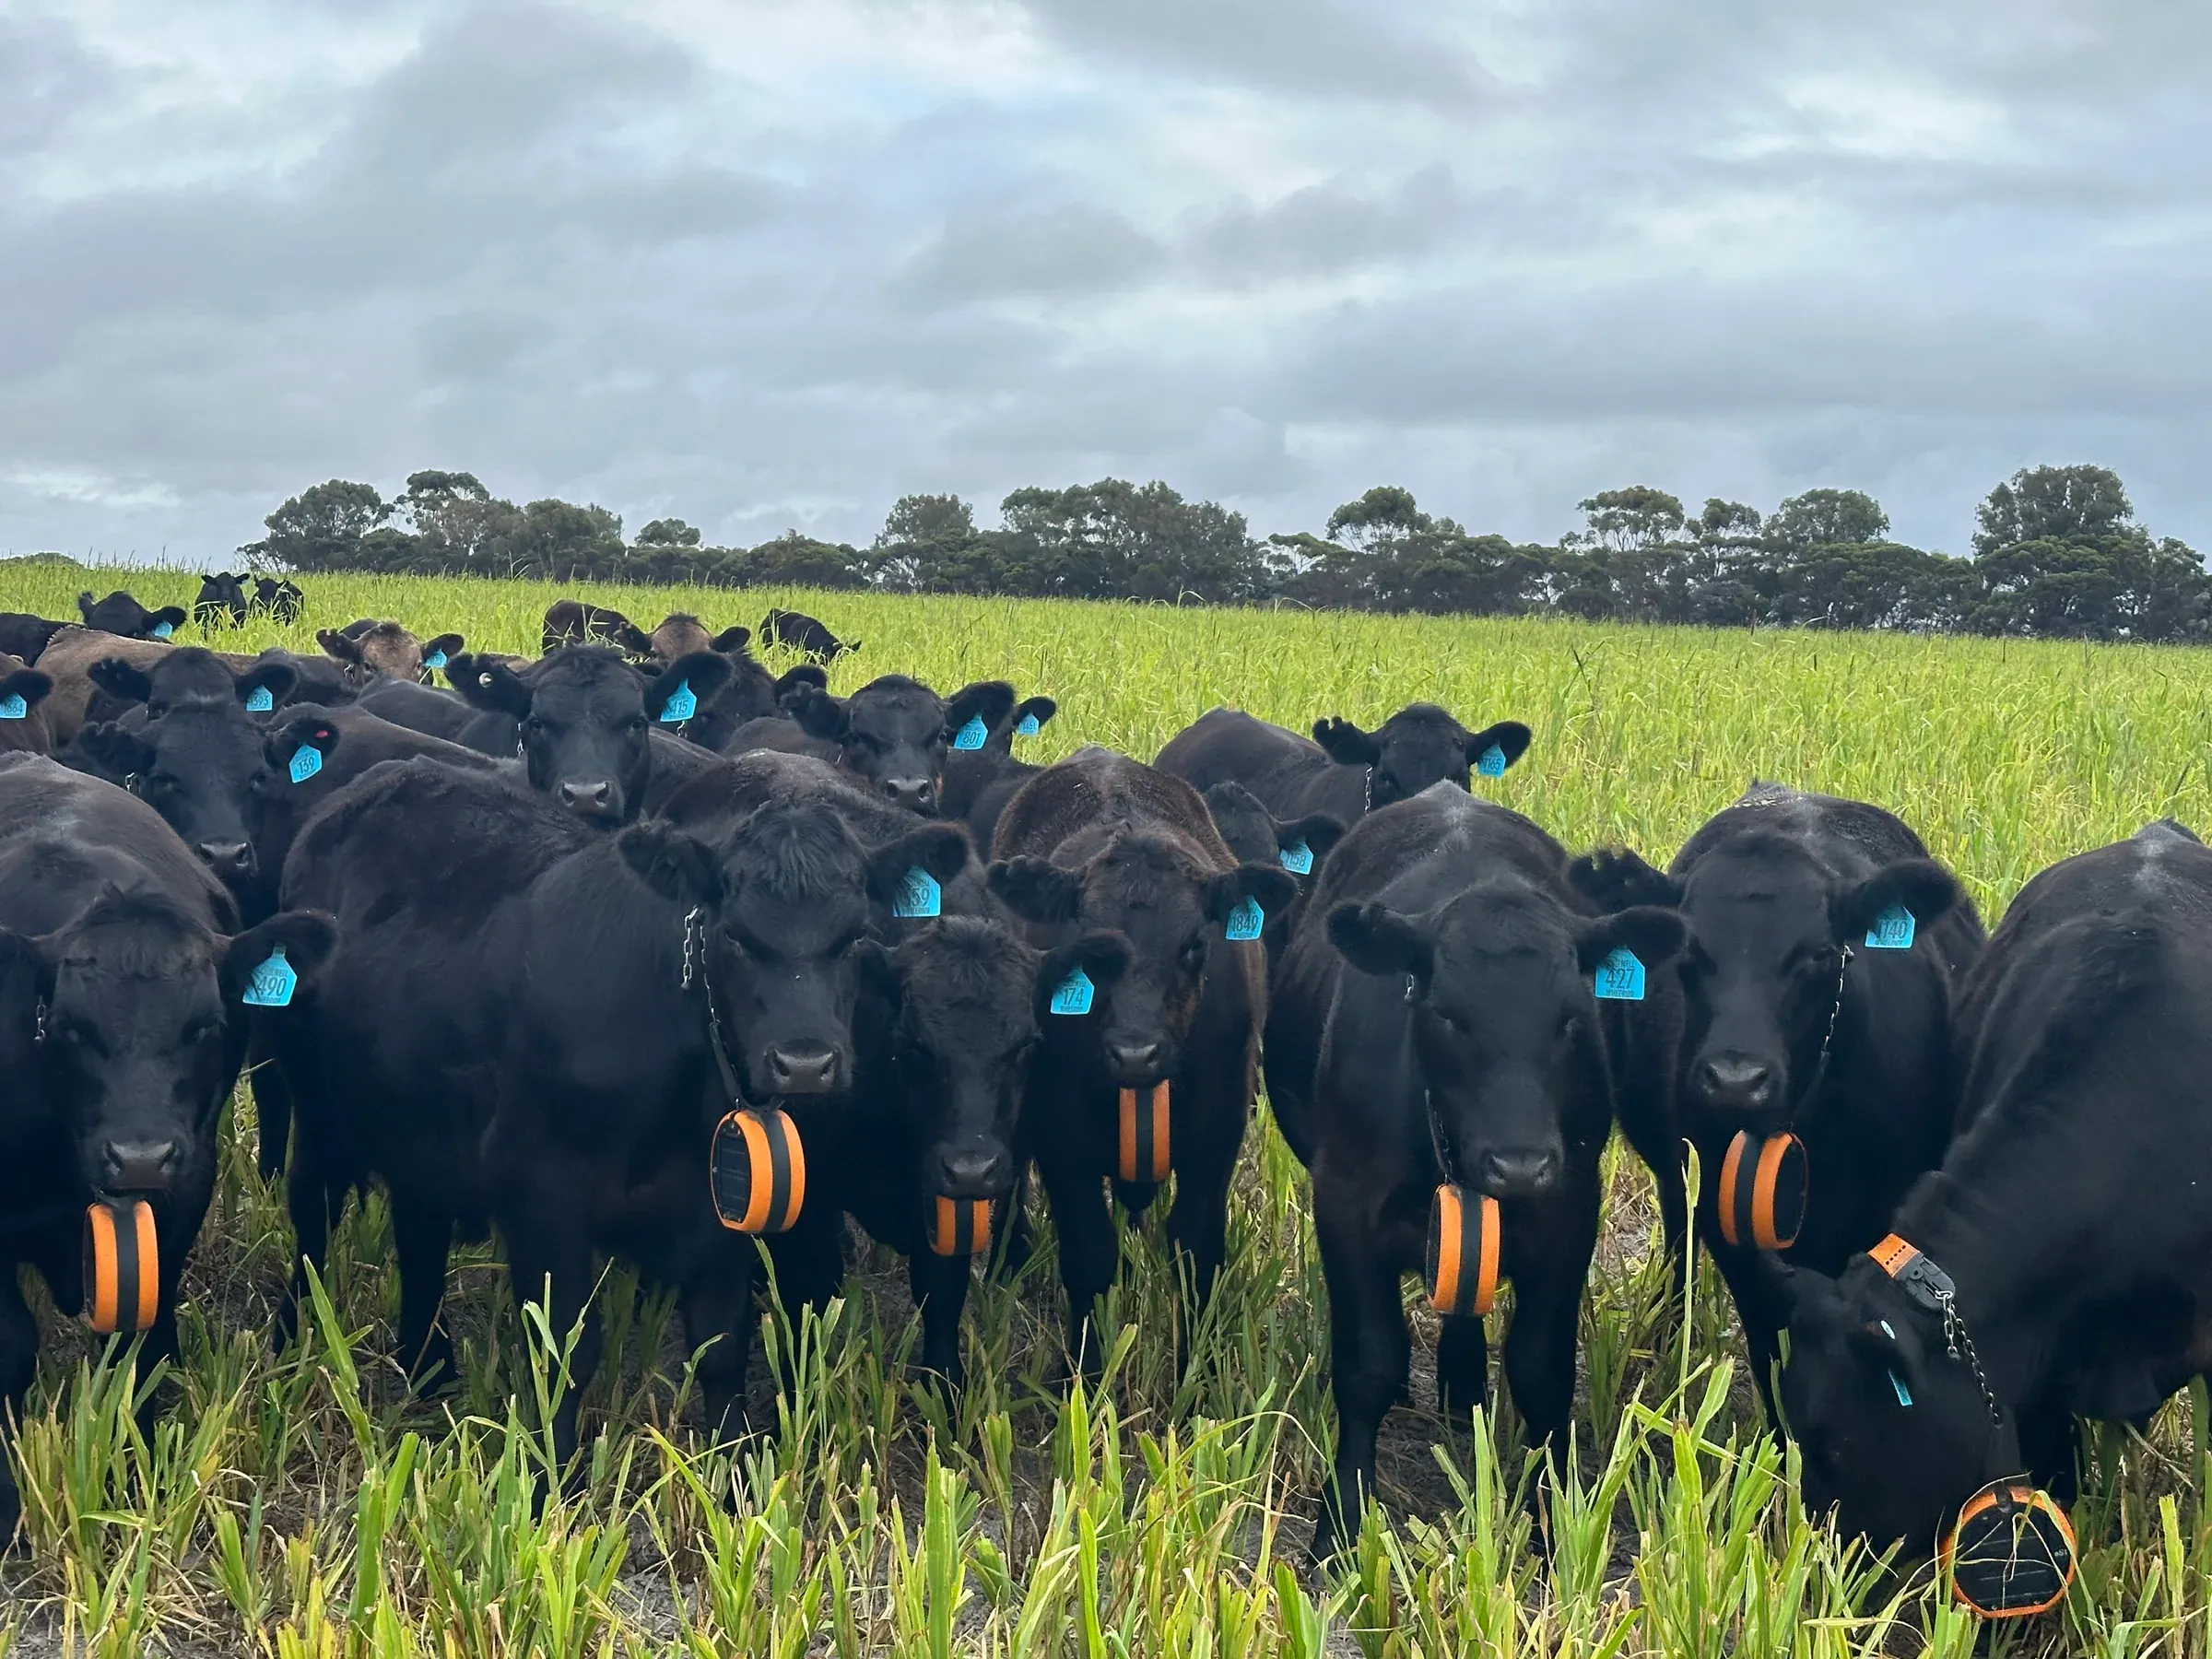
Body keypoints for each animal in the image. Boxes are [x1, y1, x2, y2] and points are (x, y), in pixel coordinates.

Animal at [0, 754, 333, 1542]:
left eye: (207, 1024)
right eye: (68, 1027)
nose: (141, 1156)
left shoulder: (182, 1191)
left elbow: (136, 1348)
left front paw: (135, 1468)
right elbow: (11, 1345)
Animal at [986, 749, 1297, 1381]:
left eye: (1195, 945)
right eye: (1089, 948)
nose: (1135, 1052)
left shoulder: (1217, 1131)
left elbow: (1196, 1248)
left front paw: (1197, 1374)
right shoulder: (1061, 1137)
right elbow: (1088, 1252)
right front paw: (1083, 1373)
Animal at [1263, 783, 1686, 1556]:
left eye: (1572, 1017)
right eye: (1446, 1014)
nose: (1518, 1163)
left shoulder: (1568, 1209)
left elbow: (1543, 1370)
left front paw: (1555, 1523)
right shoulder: (1344, 1203)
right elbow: (1366, 1363)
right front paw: (1342, 1522)